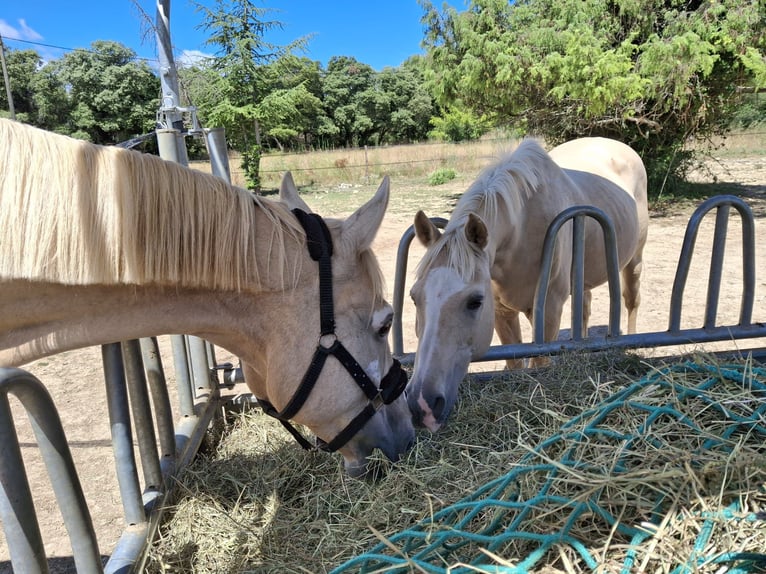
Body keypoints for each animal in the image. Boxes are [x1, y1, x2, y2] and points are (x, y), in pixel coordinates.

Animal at [407, 137, 648, 431]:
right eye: (414, 297)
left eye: (475, 301)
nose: (421, 405)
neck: (521, 228)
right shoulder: (502, 313)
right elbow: (515, 365)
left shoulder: (548, 310)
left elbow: (540, 363)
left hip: (633, 261)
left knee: (631, 300)